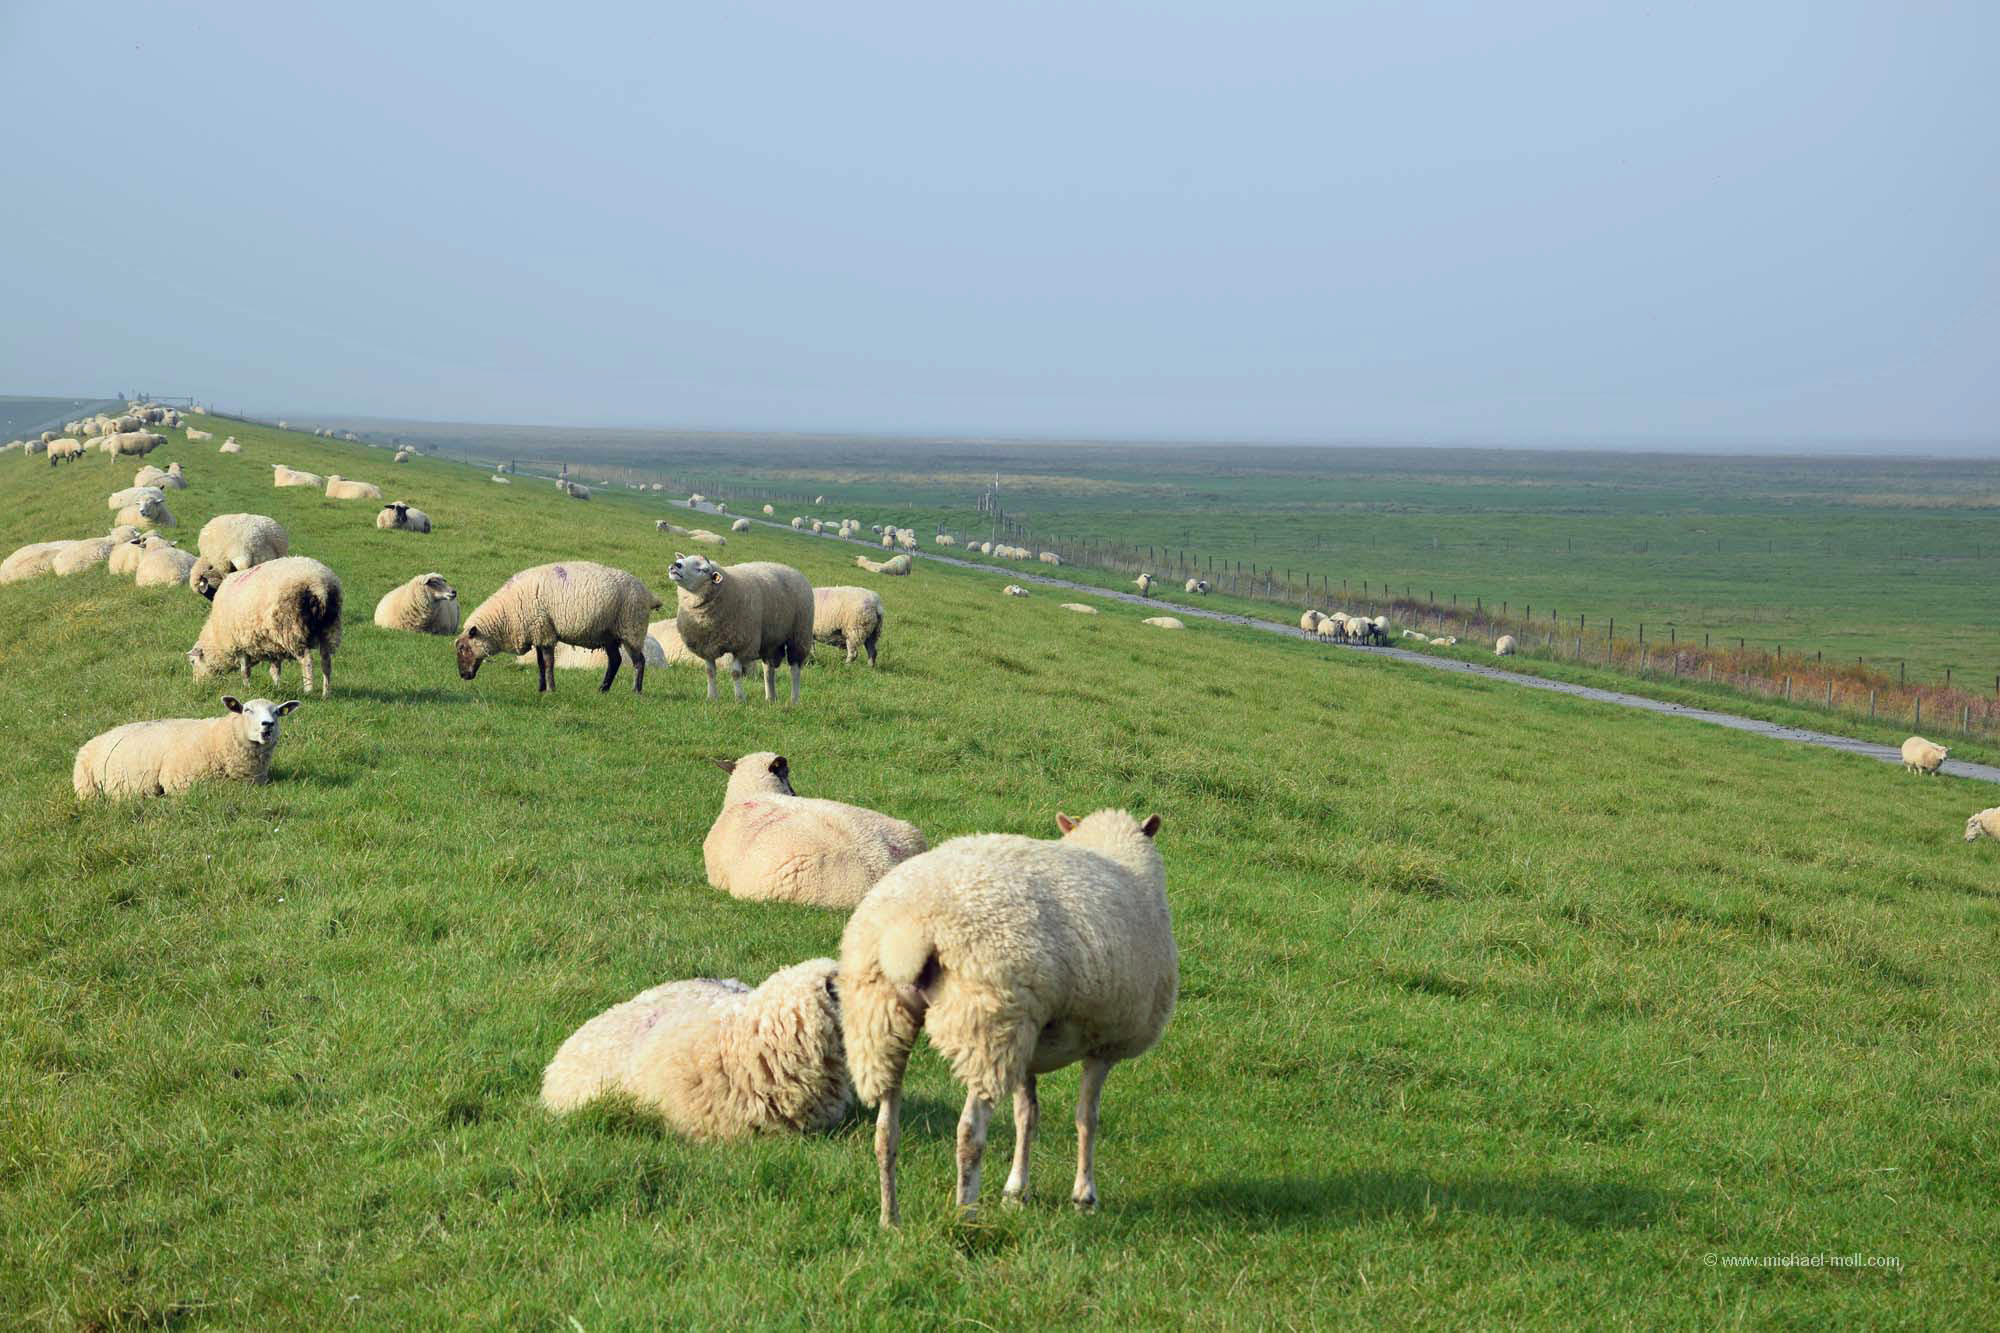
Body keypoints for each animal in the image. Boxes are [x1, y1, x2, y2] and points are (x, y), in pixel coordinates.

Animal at [72, 696, 302, 799]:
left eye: (277, 712)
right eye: (247, 710)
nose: (267, 725)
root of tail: (96, 738)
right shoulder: (179, 783)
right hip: (86, 788)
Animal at [188, 557, 343, 697]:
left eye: (192, 662)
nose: (197, 685)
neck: (215, 635)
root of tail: (318, 584)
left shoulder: (239, 645)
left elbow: (245, 671)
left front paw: (247, 689)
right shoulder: (273, 645)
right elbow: (275, 670)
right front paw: (276, 688)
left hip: (291, 628)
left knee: (307, 661)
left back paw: (308, 690)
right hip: (329, 627)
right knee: (326, 661)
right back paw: (326, 693)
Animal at [456, 561, 661, 694]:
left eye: (463, 648)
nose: (462, 675)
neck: (506, 613)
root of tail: (649, 595)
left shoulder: (544, 632)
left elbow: (548, 663)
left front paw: (551, 689)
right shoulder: (538, 632)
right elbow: (540, 663)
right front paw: (541, 688)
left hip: (631, 628)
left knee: (639, 661)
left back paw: (636, 691)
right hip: (610, 634)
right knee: (615, 660)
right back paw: (603, 689)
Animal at [839, 808, 1175, 1225]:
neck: (1117, 852)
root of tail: (908, 932)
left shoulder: (1027, 1044)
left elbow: (1026, 1115)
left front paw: (1016, 1192)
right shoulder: (1104, 1043)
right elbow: (1087, 1117)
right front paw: (1084, 1196)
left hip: (881, 1022)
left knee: (886, 1130)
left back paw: (891, 1220)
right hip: (984, 1022)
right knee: (969, 1132)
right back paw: (965, 1213)